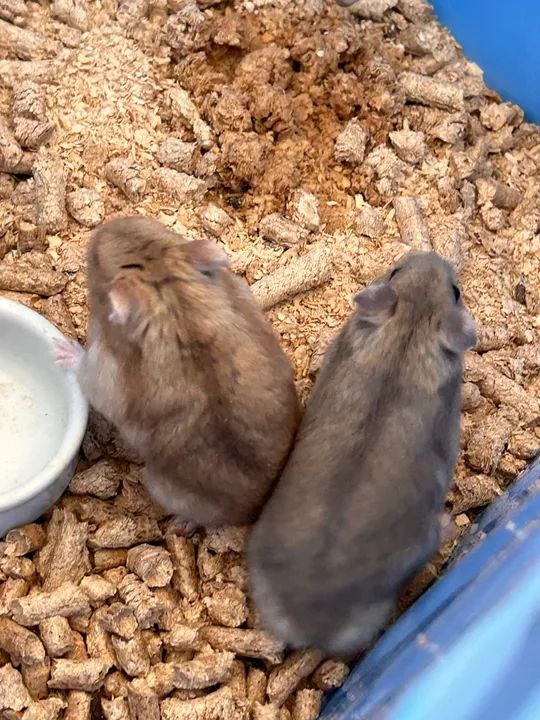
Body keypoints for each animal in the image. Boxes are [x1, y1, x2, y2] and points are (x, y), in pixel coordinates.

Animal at [56, 215, 300, 527]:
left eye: (97, 263)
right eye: (158, 227)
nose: (105, 227)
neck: (172, 299)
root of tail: (255, 511)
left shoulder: (103, 369)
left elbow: (85, 370)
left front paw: (62, 349)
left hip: (161, 487)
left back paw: (182, 524)